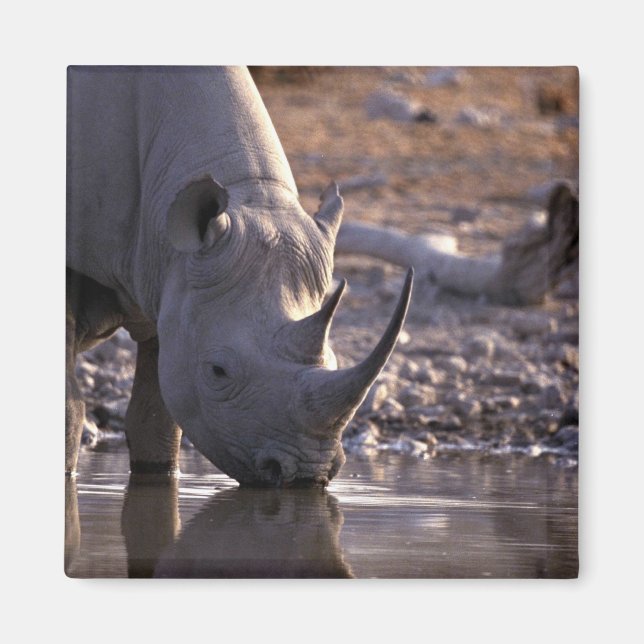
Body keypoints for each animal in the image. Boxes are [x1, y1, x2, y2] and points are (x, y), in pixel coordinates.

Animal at [66, 66, 413, 487]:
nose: (305, 475)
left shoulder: (165, 274)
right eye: (218, 372)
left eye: (334, 359)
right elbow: (69, 411)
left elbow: (157, 419)